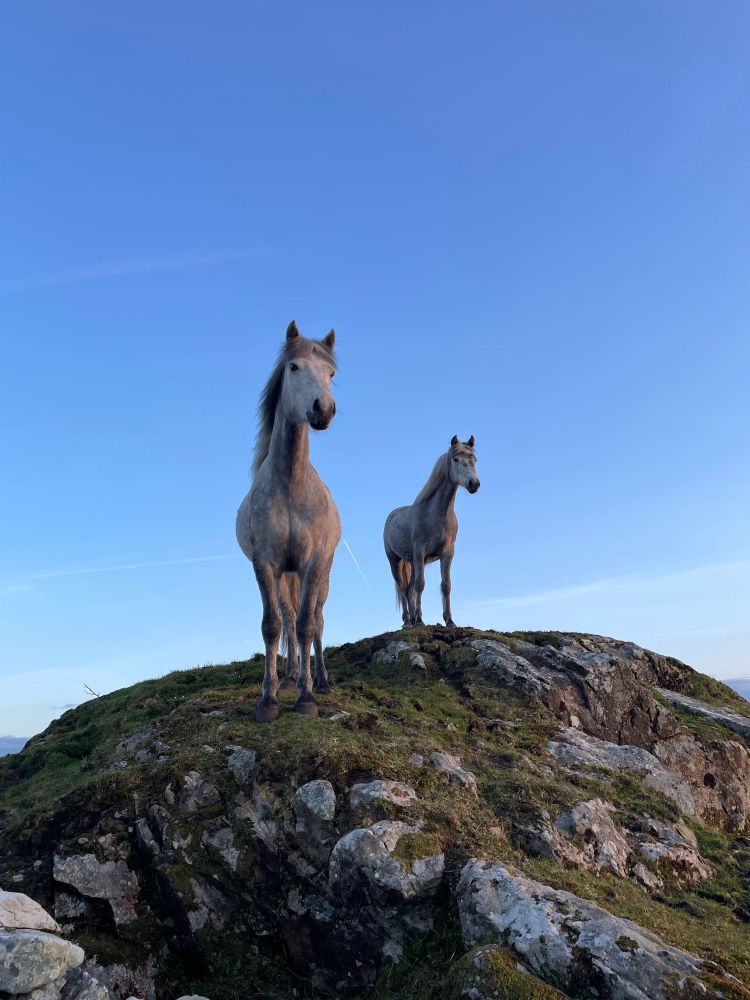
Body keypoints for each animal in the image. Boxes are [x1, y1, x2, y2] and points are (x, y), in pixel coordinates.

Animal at [236, 321, 341, 722]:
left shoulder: (313, 563)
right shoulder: (266, 564)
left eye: (331, 373)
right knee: (289, 617)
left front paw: (307, 697)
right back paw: (293, 673)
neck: (291, 485)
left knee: (317, 620)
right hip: (285, 576)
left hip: (322, 575)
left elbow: (308, 625)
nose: (322, 409)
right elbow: (273, 626)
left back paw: (320, 680)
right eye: (294, 367)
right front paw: (269, 698)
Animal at [383, 436, 480, 628]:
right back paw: (408, 621)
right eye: (455, 459)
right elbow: (421, 584)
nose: (474, 484)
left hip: (412, 562)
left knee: (410, 589)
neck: (437, 515)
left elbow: (446, 585)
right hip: (395, 561)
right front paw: (420, 620)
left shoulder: (447, 554)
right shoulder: (420, 552)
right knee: (403, 588)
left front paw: (449, 620)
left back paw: (412, 619)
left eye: (475, 459)